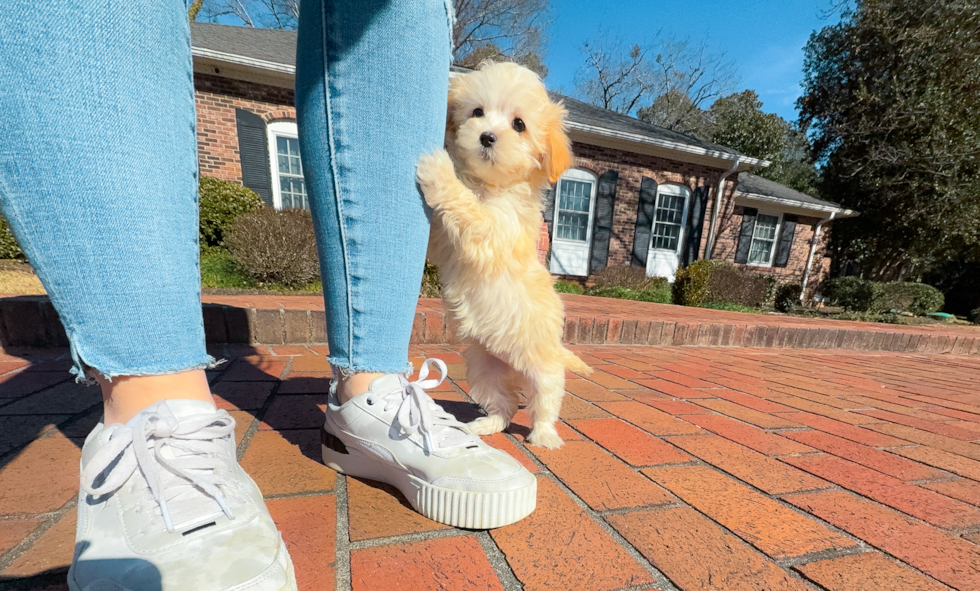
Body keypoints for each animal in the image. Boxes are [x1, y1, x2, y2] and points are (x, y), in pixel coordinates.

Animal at [418, 62, 592, 448]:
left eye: (519, 125)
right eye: (477, 112)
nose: (486, 136)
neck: (489, 186)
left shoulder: (491, 231)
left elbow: (465, 205)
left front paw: (440, 170)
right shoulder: (448, 246)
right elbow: (441, 234)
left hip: (543, 368)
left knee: (545, 402)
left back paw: (545, 436)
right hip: (484, 368)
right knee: (504, 404)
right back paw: (485, 425)